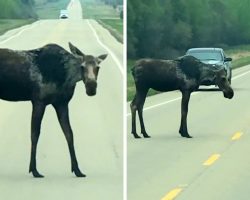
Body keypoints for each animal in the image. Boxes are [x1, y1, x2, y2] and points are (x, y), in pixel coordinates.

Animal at [0, 42, 107, 177]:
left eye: (98, 67)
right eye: (82, 66)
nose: (91, 87)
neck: (67, 77)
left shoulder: (62, 103)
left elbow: (69, 134)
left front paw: (77, 170)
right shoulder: (39, 101)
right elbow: (35, 134)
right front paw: (34, 170)